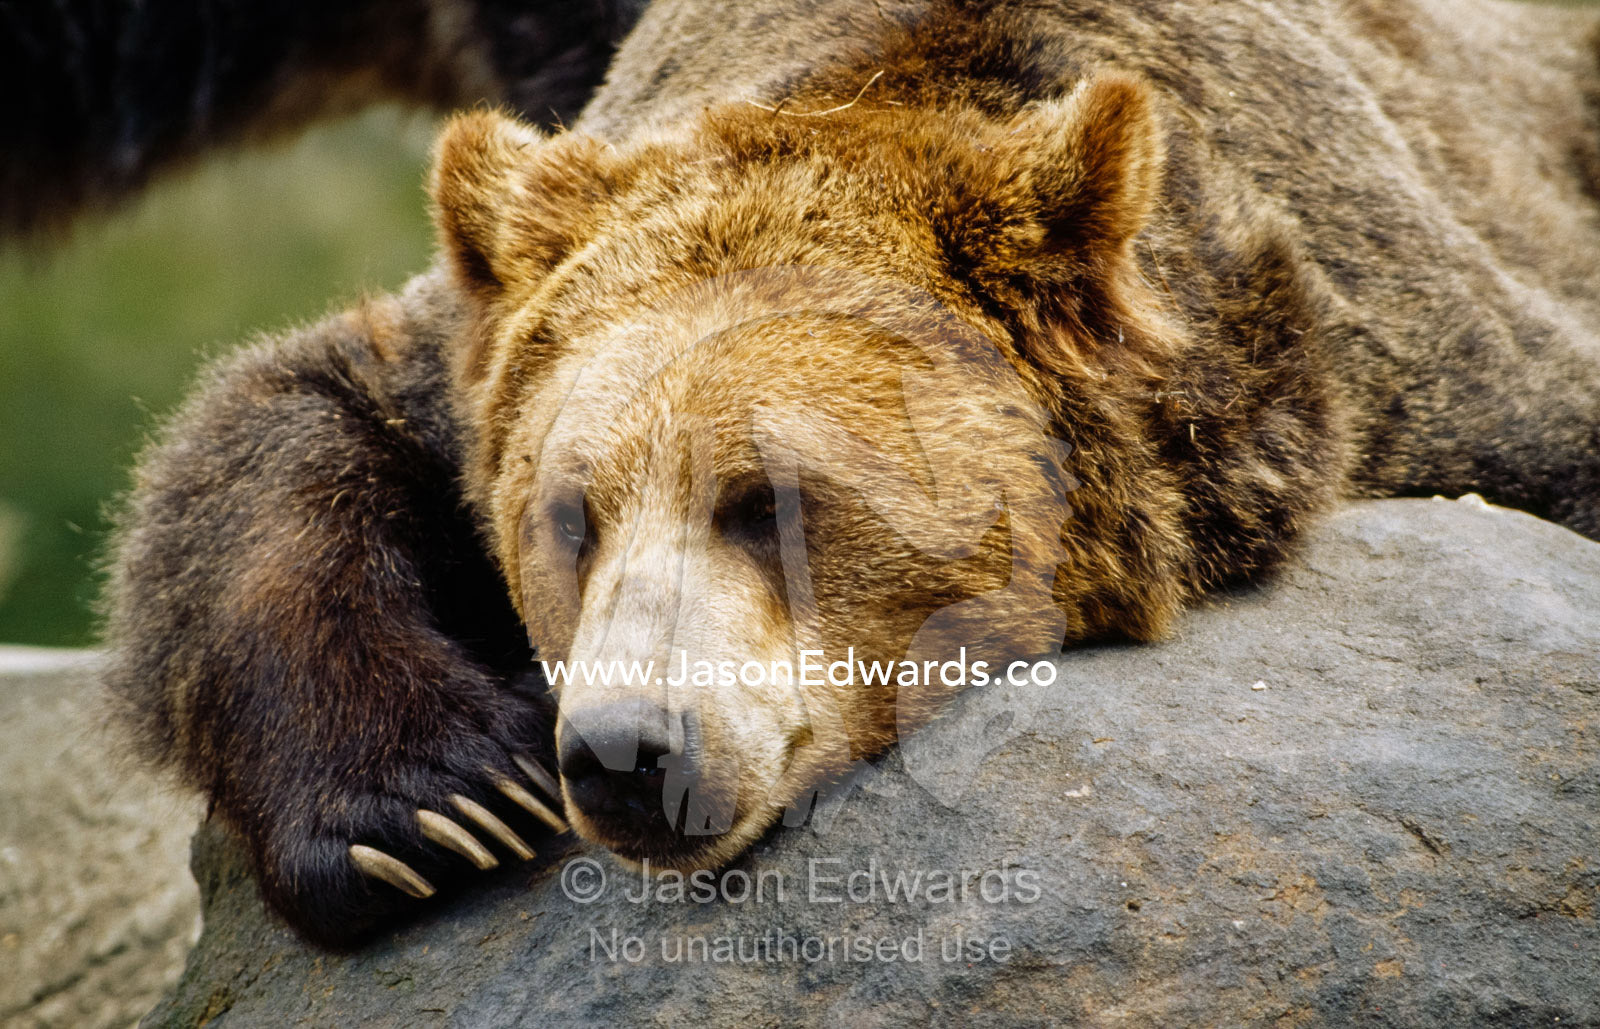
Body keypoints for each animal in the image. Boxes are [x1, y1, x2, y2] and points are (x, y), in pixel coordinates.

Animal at [103, 0, 1600, 947]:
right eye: (567, 515)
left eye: (770, 502)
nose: (625, 752)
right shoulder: (473, 355)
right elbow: (277, 427)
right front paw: (434, 810)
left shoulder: (1395, 337)